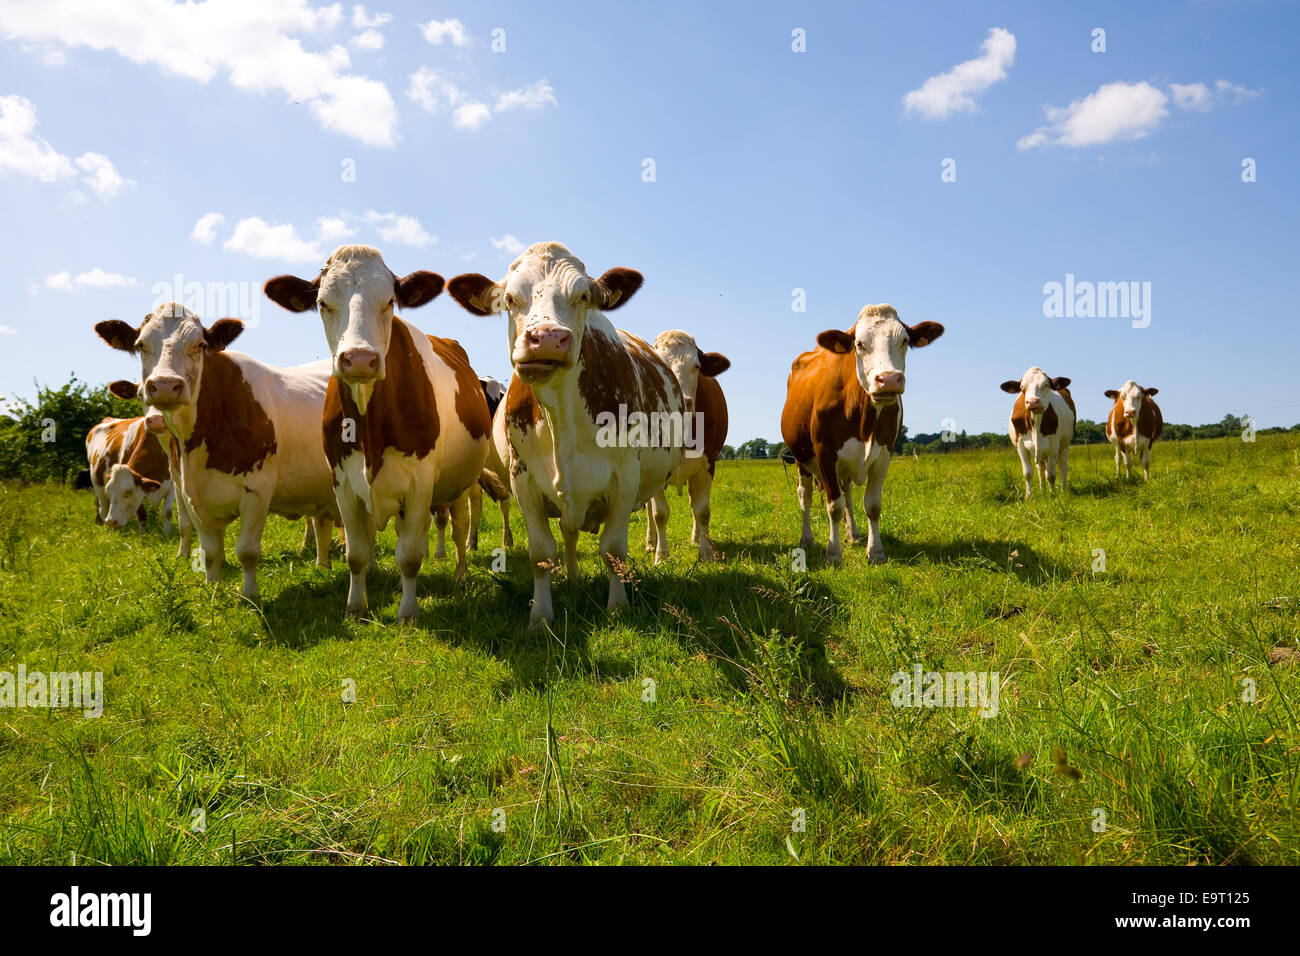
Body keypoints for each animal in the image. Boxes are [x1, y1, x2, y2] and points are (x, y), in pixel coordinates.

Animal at [95, 303, 340, 598]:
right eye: (140, 344)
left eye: (199, 344)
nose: (165, 385)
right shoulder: (189, 493)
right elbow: (210, 552)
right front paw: (212, 592)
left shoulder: (257, 492)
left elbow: (247, 551)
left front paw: (250, 595)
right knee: (322, 524)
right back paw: (323, 567)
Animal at [262, 243, 491, 624]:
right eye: (323, 302)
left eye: (389, 301)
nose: (358, 359)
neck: (369, 429)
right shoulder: (342, 482)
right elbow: (356, 553)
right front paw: (356, 606)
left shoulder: (419, 483)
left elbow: (410, 555)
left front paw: (408, 612)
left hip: (462, 482)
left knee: (459, 526)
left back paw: (459, 574)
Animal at [447, 240, 686, 629]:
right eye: (510, 298)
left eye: (583, 295)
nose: (547, 338)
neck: (561, 416)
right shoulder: (523, 479)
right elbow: (542, 553)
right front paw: (541, 616)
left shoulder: (625, 477)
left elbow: (613, 549)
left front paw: (617, 607)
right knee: (569, 532)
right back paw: (572, 576)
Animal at [642, 332, 728, 564]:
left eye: (696, 366)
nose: (683, 401)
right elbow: (659, 514)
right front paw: (661, 556)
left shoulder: (707, 464)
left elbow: (702, 510)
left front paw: (706, 553)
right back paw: (651, 543)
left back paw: (696, 538)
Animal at [774, 304, 941, 567]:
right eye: (859, 344)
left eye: (904, 341)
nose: (888, 379)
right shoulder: (825, 453)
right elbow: (834, 506)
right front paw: (833, 554)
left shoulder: (884, 454)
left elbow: (872, 505)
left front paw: (875, 551)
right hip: (801, 458)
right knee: (806, 496)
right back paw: (807, 539)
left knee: (848, 493)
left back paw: (852, 534)